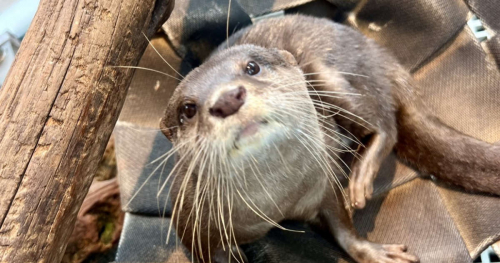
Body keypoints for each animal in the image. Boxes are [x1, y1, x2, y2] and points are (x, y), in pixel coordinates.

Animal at [160, 14, 500, 263]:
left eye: (252, 67)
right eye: (187, 109)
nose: (227, 98)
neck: (278, 202)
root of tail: (378, 54)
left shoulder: (325, 179)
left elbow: (343, 226)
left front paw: (373, 252)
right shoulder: (192, 227)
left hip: (325, 72)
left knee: (385, 124)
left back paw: (360, 179)